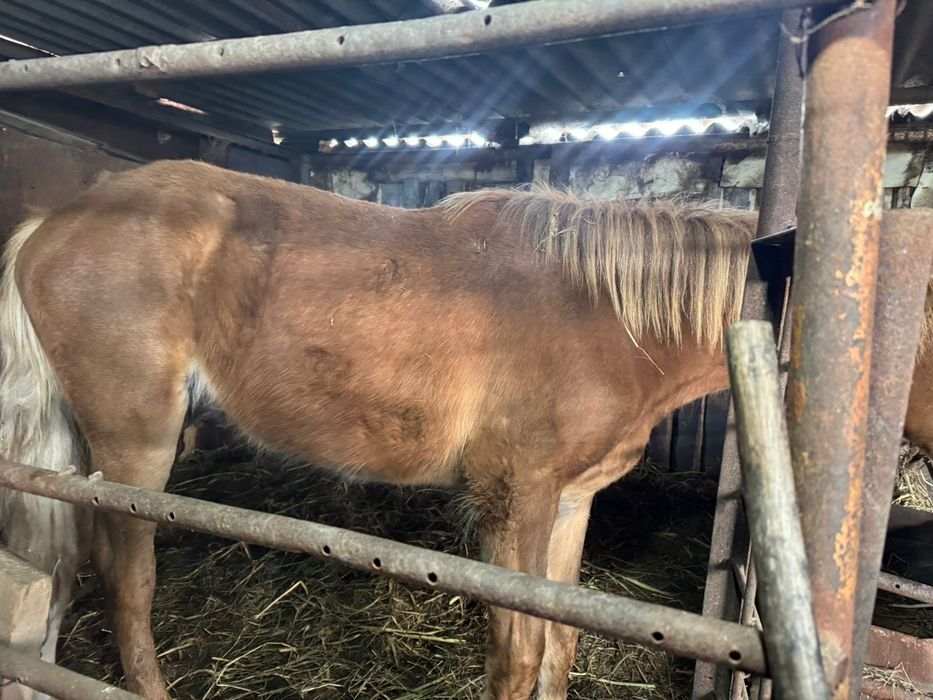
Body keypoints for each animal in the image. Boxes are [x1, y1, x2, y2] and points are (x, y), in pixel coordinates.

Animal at [0, 158, 925, 700]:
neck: (603, 317)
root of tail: (56, 221)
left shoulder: (568, 504)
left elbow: (558, 644)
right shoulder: (512, 503)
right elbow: (516, 652)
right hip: (138, 449)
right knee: (128, 582)